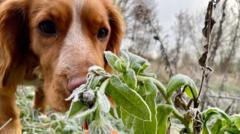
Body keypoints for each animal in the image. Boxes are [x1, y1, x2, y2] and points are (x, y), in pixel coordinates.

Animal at [0, 0, 124, 133]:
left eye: (102, 32)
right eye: (47, 26)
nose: (86, 88)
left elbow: (41, 98)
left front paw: (39, 118)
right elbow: (9, 112)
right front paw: (11, 128)